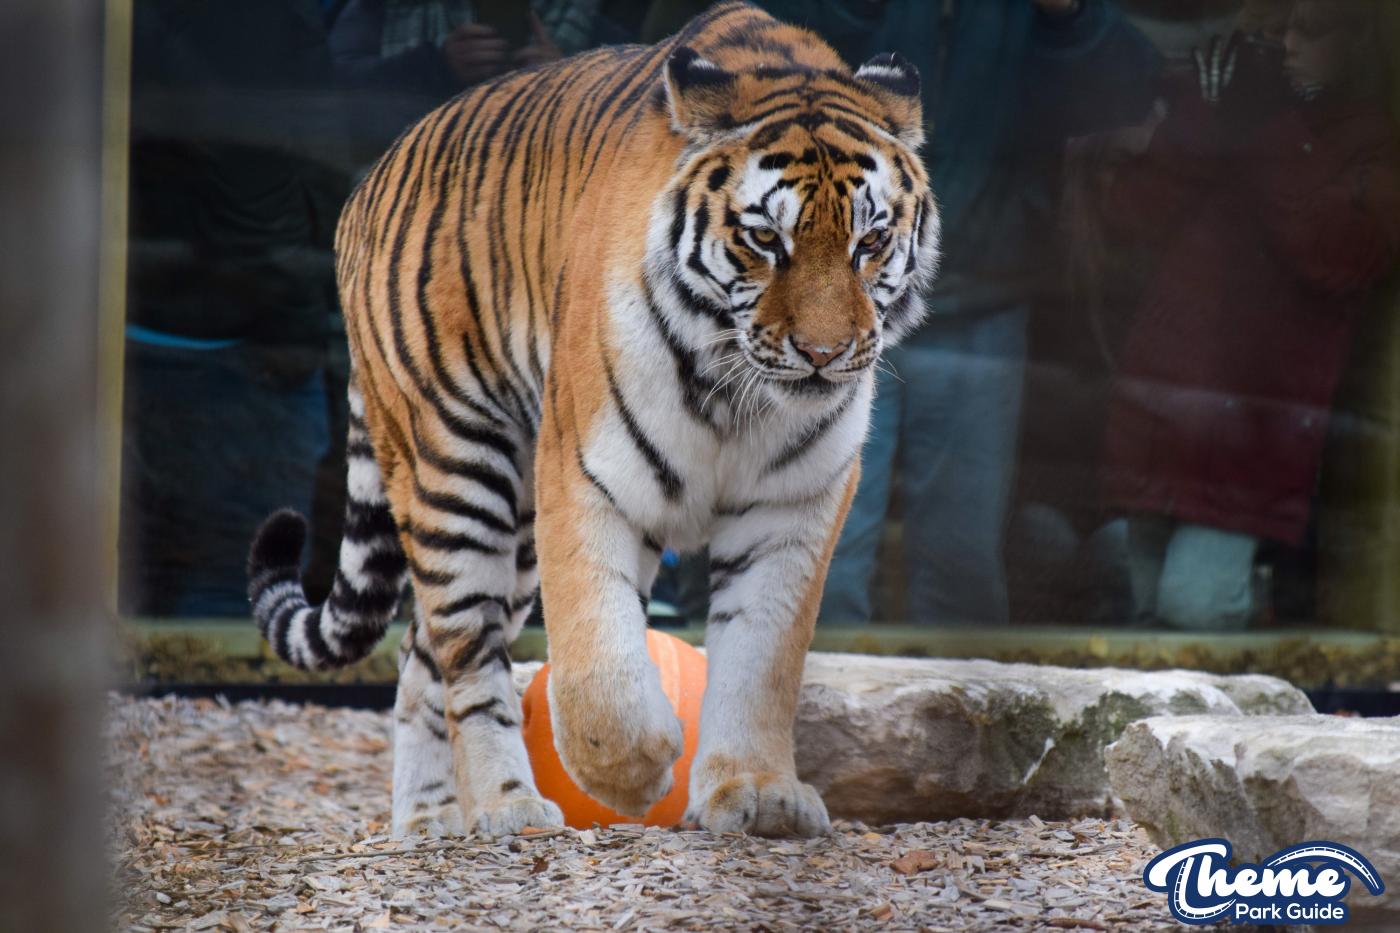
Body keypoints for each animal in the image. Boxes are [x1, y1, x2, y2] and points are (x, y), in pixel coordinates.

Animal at [247, 0, 938, 839]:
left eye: (871, 240)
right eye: (764, 238)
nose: (823, 353)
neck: (738, 392)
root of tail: (371, 180)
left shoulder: (793, 505)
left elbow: (762, 661)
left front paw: (759, 791)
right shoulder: (586, 474)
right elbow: (595, 661)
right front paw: (633, 773)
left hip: (514, 530)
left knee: (420, 656)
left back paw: (432, 818)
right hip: (456, 469)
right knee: (466, 653)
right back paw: (507, 807)